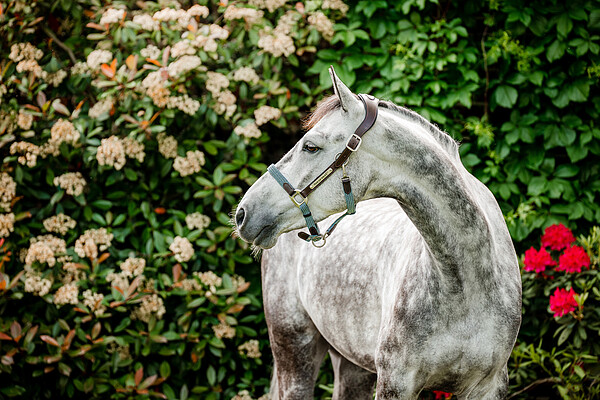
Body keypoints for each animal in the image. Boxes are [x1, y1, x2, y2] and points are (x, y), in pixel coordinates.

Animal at [234, 67, 520, 398]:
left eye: (311, 146)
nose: (243, 213)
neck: (465, 283)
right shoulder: (396, 382)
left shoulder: (489, 385)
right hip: (294, 350)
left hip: (351, 363)